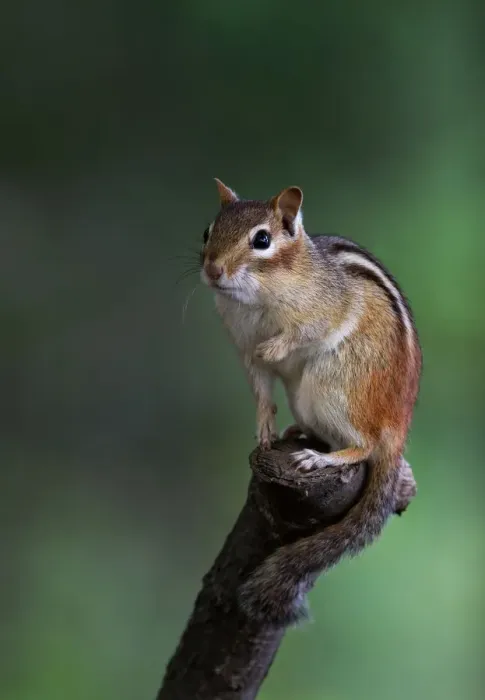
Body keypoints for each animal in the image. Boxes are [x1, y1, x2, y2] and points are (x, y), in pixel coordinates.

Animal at [200, 178, 422, 625]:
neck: (258, 297)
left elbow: (307, 330)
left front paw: (276, 346)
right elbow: (260, 390)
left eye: (262, 240)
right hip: (306, 398)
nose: (212, 270)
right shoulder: (243, 350)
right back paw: (297, 432)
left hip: (332, 386)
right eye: (206, 232)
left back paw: (321, 458)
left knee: (365, 445)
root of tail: (398, 427)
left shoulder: (328, 306)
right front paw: (265, 427)